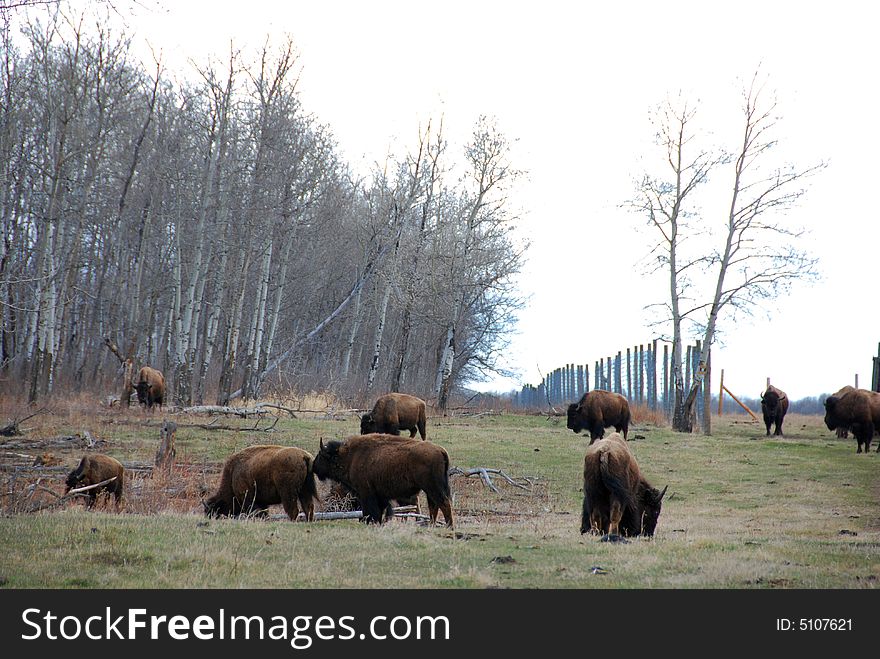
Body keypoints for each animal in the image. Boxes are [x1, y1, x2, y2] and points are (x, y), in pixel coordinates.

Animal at [312, 434, 454, 532]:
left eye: (321, 455)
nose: (314, 466)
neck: (350, 457)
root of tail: (441, 450)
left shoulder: (366, 493)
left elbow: (370, 511)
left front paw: (370, 522)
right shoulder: (380, 495)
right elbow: (383, 511)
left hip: (433, 488)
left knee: (444, 504)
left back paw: (449, 527)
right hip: (430, 490)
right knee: (434, 506)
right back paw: (432, 526)